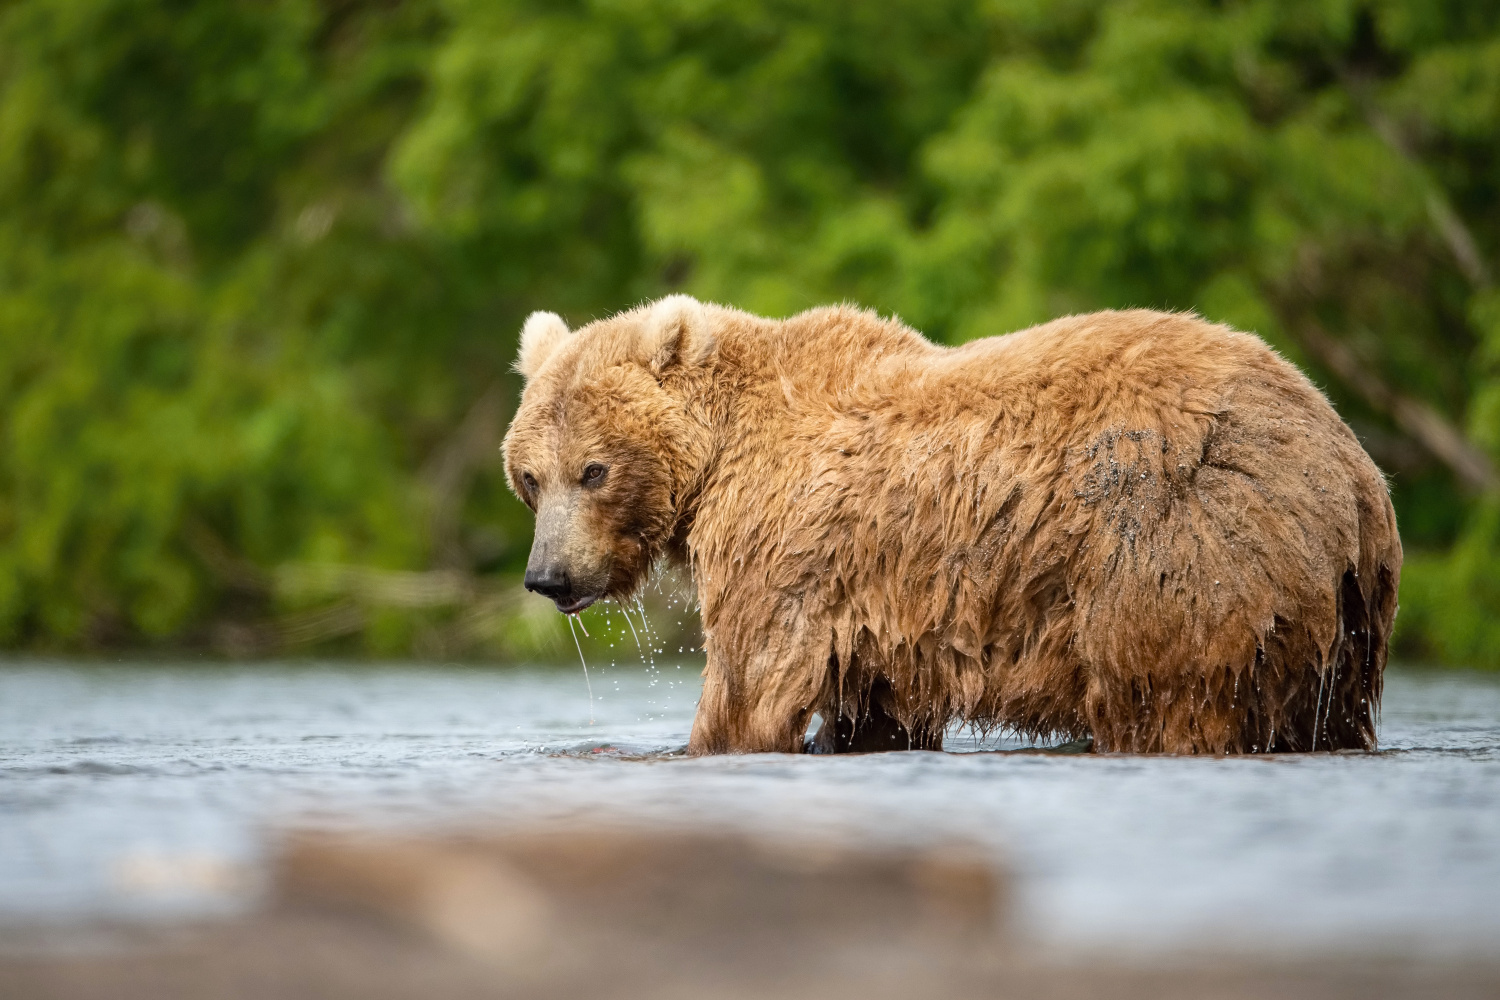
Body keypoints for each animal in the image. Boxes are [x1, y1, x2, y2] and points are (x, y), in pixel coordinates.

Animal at [504, 299, 1404, 758]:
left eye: (594, 470)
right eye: (530, 477)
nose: (549, 577)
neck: (720, 453)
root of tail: (1349, 465)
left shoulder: (787, 546)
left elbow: (751, 686)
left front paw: (713, 740)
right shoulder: (876, 610)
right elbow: (874, 709)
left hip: (1182, 546)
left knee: (1166, 689)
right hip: (1342, 613)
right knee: (1328, 710)